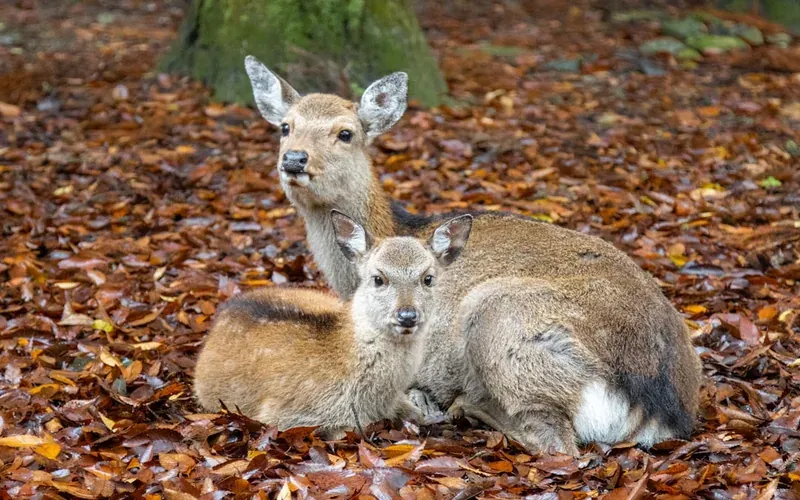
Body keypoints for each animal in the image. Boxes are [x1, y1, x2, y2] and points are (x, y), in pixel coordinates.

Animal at [243, 55, 703, 455]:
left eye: (345, 133)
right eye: (285, 126)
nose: (294, 160)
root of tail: (655, 403)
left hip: (498, 315)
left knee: (556, 441)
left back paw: (464, 406)